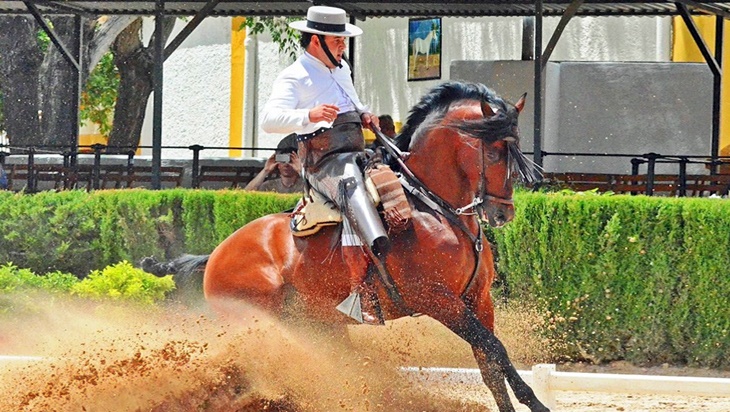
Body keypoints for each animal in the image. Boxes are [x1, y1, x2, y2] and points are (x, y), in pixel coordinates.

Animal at [146, 81, 544, 412]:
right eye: (494, 152)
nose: (503, 213)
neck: (433, 206)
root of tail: (217, 254)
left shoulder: (478, 300)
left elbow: (490, 367)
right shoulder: (437, 300)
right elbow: (495, 350)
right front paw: (536, 403)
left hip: (321, 325)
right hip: (261, 325)